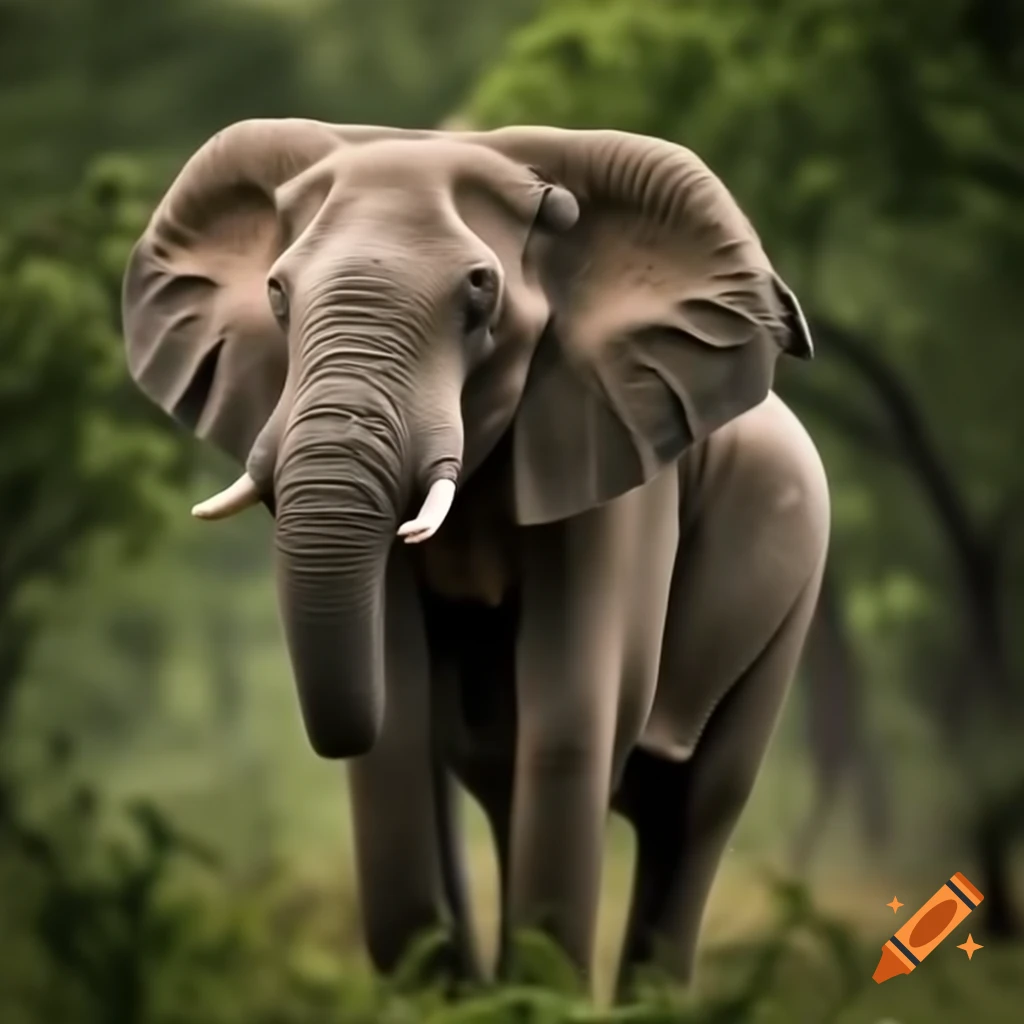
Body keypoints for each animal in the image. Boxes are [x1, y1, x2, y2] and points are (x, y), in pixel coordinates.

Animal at [120, 119, 830, 995]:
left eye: (480, 295)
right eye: (278, 293)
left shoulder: (609, 459)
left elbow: (571, 720)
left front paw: (537, 996)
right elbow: (400, 735)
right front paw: (460, 997)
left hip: (795, 589)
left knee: (693, 810)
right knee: (503, 782)